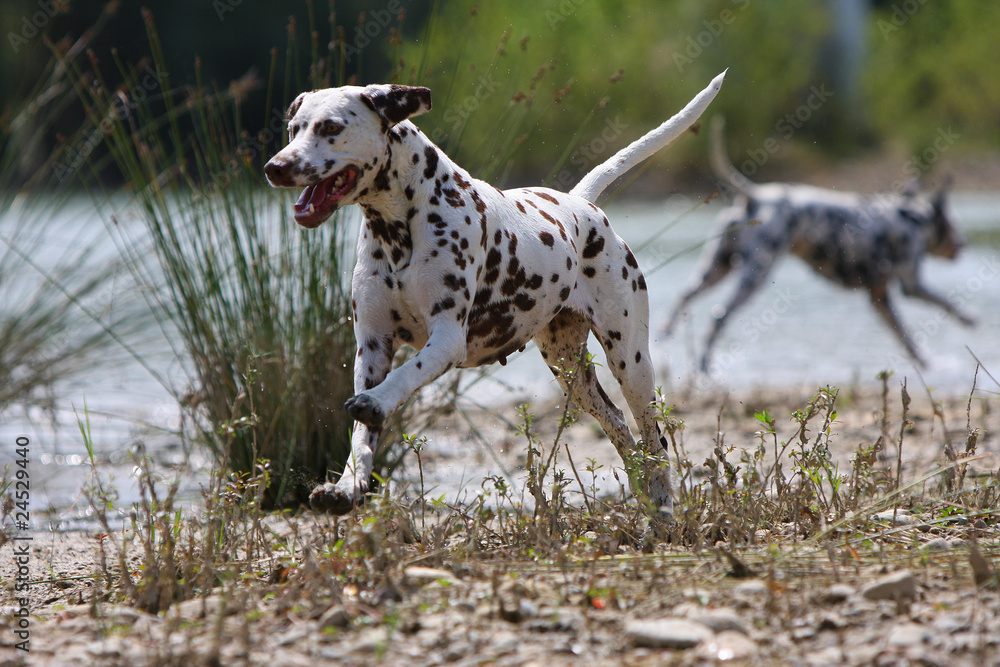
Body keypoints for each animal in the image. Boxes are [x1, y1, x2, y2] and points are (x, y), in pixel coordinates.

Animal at [262, 74, 724, 520]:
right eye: (293, 129)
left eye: (331, 127)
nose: (275, 167)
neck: (399, 227)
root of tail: (581, 205)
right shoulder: (371, 349)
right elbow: (361, 438)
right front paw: (346, 488)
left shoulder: (446, 340)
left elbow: (404, 377)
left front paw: (377, 402)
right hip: (571, 372)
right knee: (622, 432)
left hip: (631, 363)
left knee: (654, 440)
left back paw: (664, 510)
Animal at [664, 117, 976, 374]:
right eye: (955, 225)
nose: (964, 245)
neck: (910, 217)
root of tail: (757, 195)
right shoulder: (912, 287)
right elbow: (947, 303)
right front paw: (968, 319)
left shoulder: (880, 300)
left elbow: (908, 341)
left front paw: (925, 363)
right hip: (753, 278)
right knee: (719, 317)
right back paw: (704, 364)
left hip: (716, 270)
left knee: (684, 296)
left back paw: (667, 333)